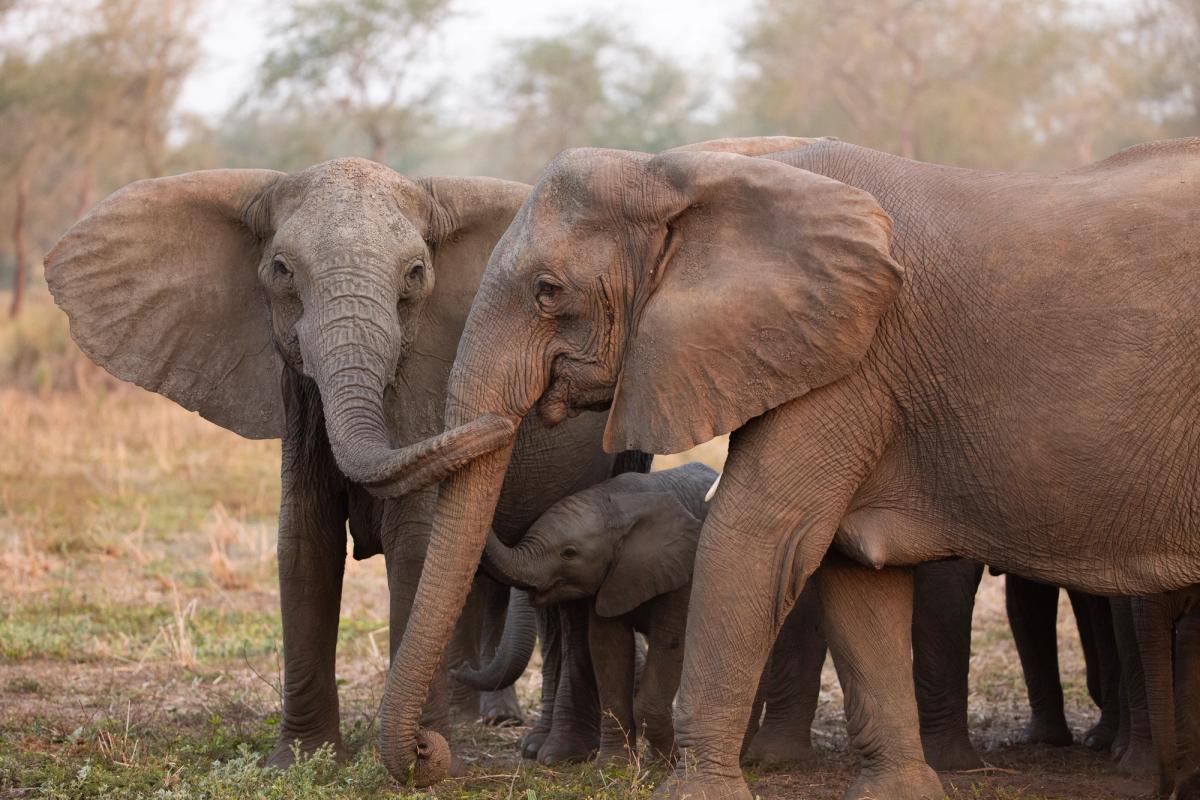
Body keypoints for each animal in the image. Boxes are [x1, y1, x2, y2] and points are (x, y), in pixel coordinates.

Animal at [43, 158, 638, 768]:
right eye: (282, 270)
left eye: (416, 274)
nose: (507, 419)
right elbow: (303, 544)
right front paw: (303, 761)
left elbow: (414, 544)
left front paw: (424, 756)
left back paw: (540, 745)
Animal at [355, 135, 1200, 800]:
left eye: (548, 290)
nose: (432, 757)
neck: (694, 171)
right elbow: (856, 570)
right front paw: (898, 795)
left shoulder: (850, 361)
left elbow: (757, 535)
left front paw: (696, 793)